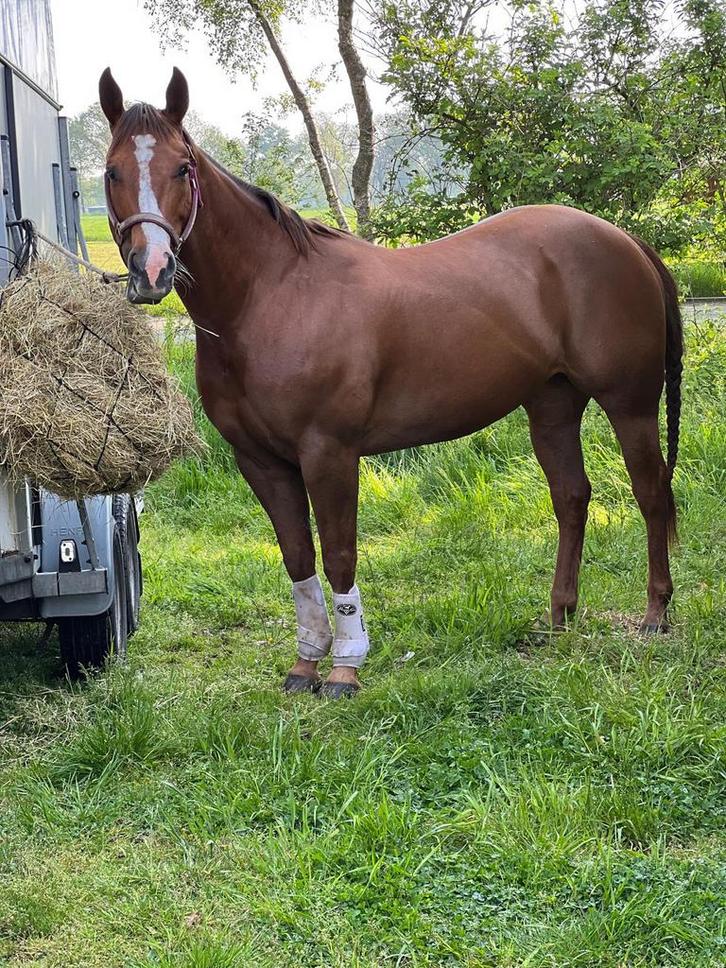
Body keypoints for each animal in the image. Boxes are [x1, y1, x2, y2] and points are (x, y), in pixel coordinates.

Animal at [99, 67, 683, 698]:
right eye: (112, 171)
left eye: (182, 168)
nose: (151, 270)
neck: (270, 296)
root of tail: (625, 242)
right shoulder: (260, 461)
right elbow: (297, 557)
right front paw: (306, 663)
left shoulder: (328, 452)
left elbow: (339, 554)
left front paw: (346, 666)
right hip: (552, 405)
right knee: (571, 497)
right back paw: (560, 617)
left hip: (630, 404)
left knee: (651, 493)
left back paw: (655, 615)